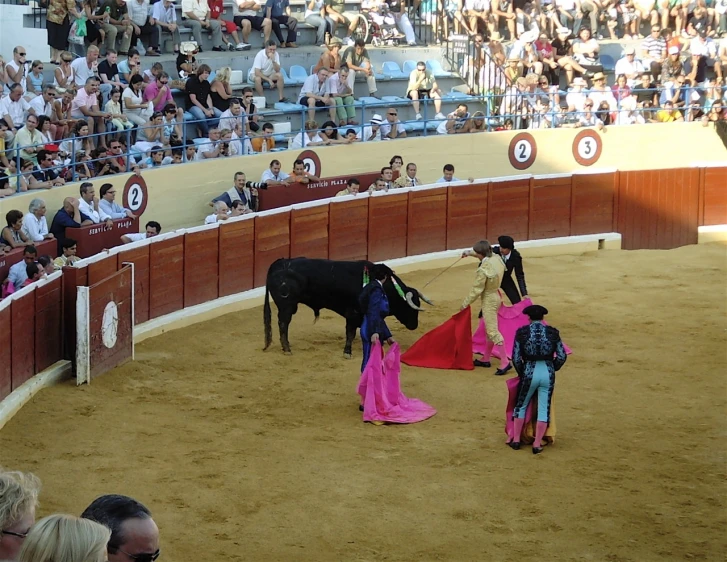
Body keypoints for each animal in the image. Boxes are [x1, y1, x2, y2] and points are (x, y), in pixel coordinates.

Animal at [262, 258, 432, 354]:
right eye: (410, 307)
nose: (414, 325)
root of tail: (278, 263)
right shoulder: (353, 312)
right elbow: (350, 332)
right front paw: (347, 351)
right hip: (287, 305)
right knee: (283, 323)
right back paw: (287, 349)